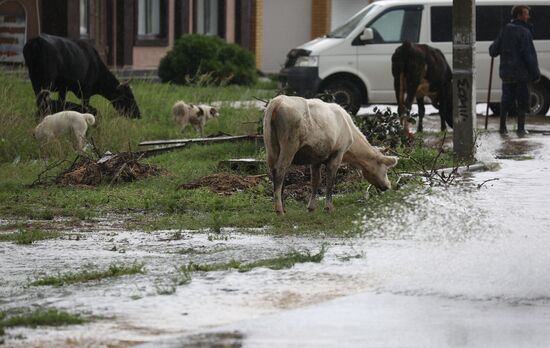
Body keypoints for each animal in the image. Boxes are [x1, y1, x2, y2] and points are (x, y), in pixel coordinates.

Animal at [266, 95, 398, 215]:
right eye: (385, 170)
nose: (388, 186)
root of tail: (278, 101)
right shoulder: (337, 154)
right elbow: (330, 181)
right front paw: (329, 207)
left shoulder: (316, 158)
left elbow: (315, 181)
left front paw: (311, 207)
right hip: (289, 145)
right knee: (280, 170)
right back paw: (279, 210)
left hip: (272, 147)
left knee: (275, 171)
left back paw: (282, 207)